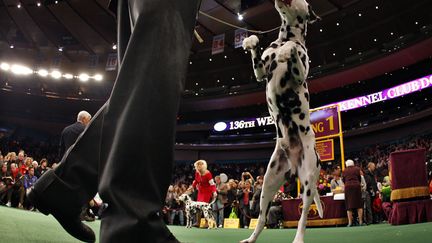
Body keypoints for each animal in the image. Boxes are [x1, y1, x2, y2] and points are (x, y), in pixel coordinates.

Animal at [241, 0, 322, 243]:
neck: (286, 37)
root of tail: (294, 166)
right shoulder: (261, 73)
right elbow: (257, 59)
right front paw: (251, 41)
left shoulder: (299, 75)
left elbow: (294, 51)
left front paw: (289, 50)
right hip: (267, 185)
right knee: (261, 219)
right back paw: (251, 238)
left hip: (308, 183)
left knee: (303, 218)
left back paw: (298, 238)